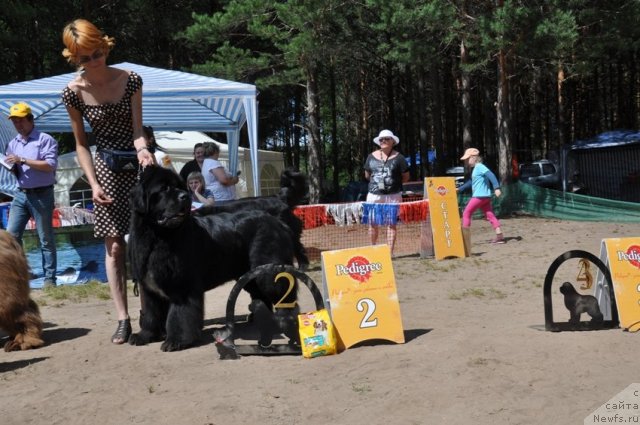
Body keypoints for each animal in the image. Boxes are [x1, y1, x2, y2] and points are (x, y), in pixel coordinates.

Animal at [129, 166, 302, 352]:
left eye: (180, 187)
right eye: (164, 188)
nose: (185, 196)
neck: (157, 236)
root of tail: (275, 220)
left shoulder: (182, 285)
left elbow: (179, 316)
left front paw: (176, 341)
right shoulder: (150, 289)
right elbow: (151, 313)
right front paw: (145, 335)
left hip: (267, 271)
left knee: (283, 293)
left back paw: (285, 322)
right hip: (249, 275)